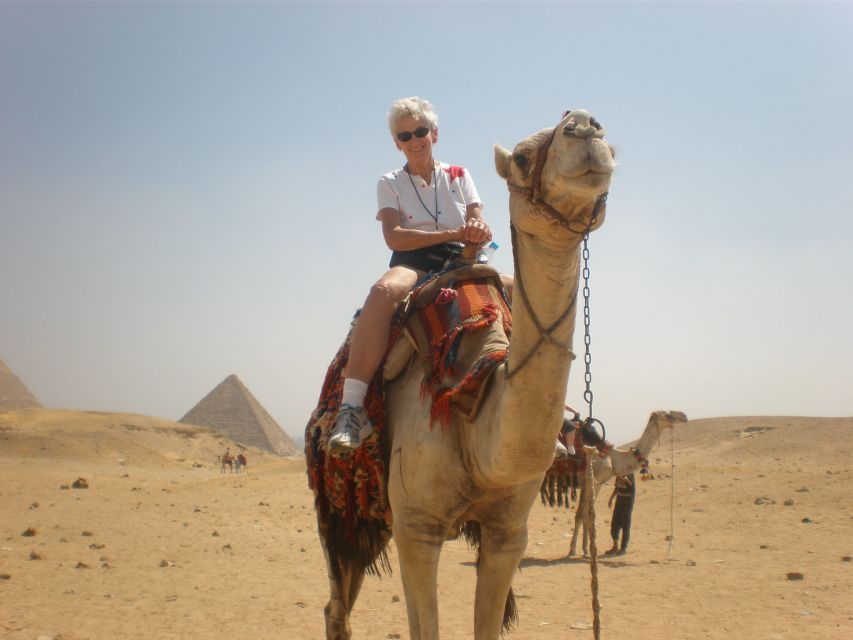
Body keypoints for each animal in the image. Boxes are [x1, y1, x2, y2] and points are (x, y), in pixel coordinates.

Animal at [319, 109, 615, 640]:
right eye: (522, 157)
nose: (585, 126)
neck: (472, 394)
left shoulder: (508, 533)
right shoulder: (416, 527)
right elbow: (425, 627)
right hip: (342, 512)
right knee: (336, 606)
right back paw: (347, 430)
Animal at [565, 410, 688, 558]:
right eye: (666, 414)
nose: (684, 416)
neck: (614, 458)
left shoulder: (589, 484)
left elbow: (583, 515)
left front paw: (582, 550)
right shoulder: (595, 482)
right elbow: (583, 516)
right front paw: (576, 551)